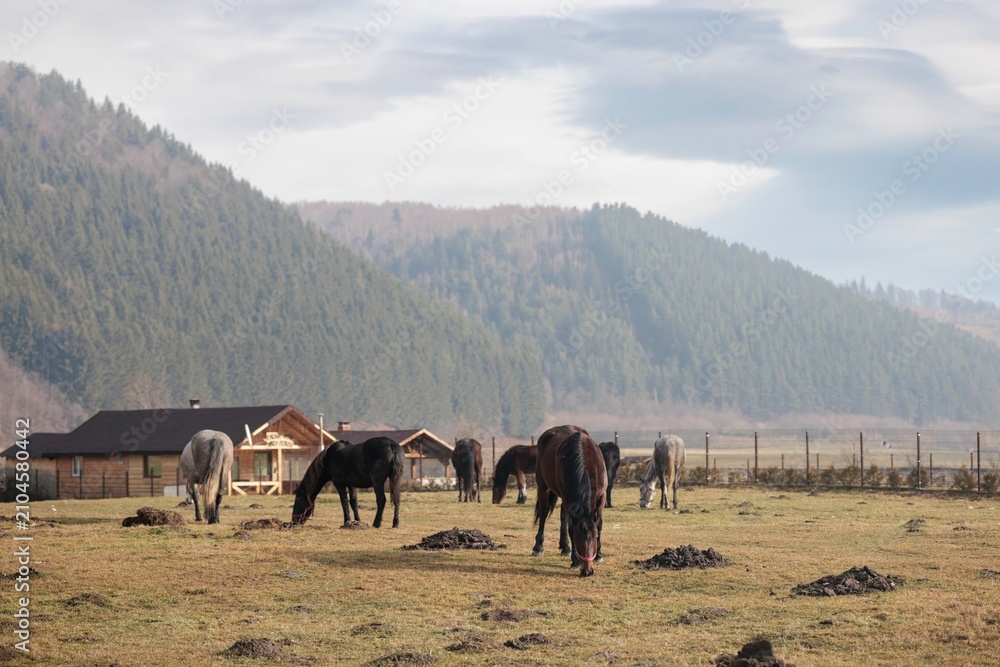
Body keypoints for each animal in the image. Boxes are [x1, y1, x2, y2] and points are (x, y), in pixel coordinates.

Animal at [532, 425, 607, 577]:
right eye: (577, 539)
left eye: (594, 537)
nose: (587, 571)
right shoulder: (567, 498)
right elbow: (571, 528)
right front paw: (575, 560)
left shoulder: (601, 497)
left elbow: (599, 525)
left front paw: (599, 555)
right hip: (543, 486)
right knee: (544, 511)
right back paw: (538, 547)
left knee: (562, 516)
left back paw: (565, 547)